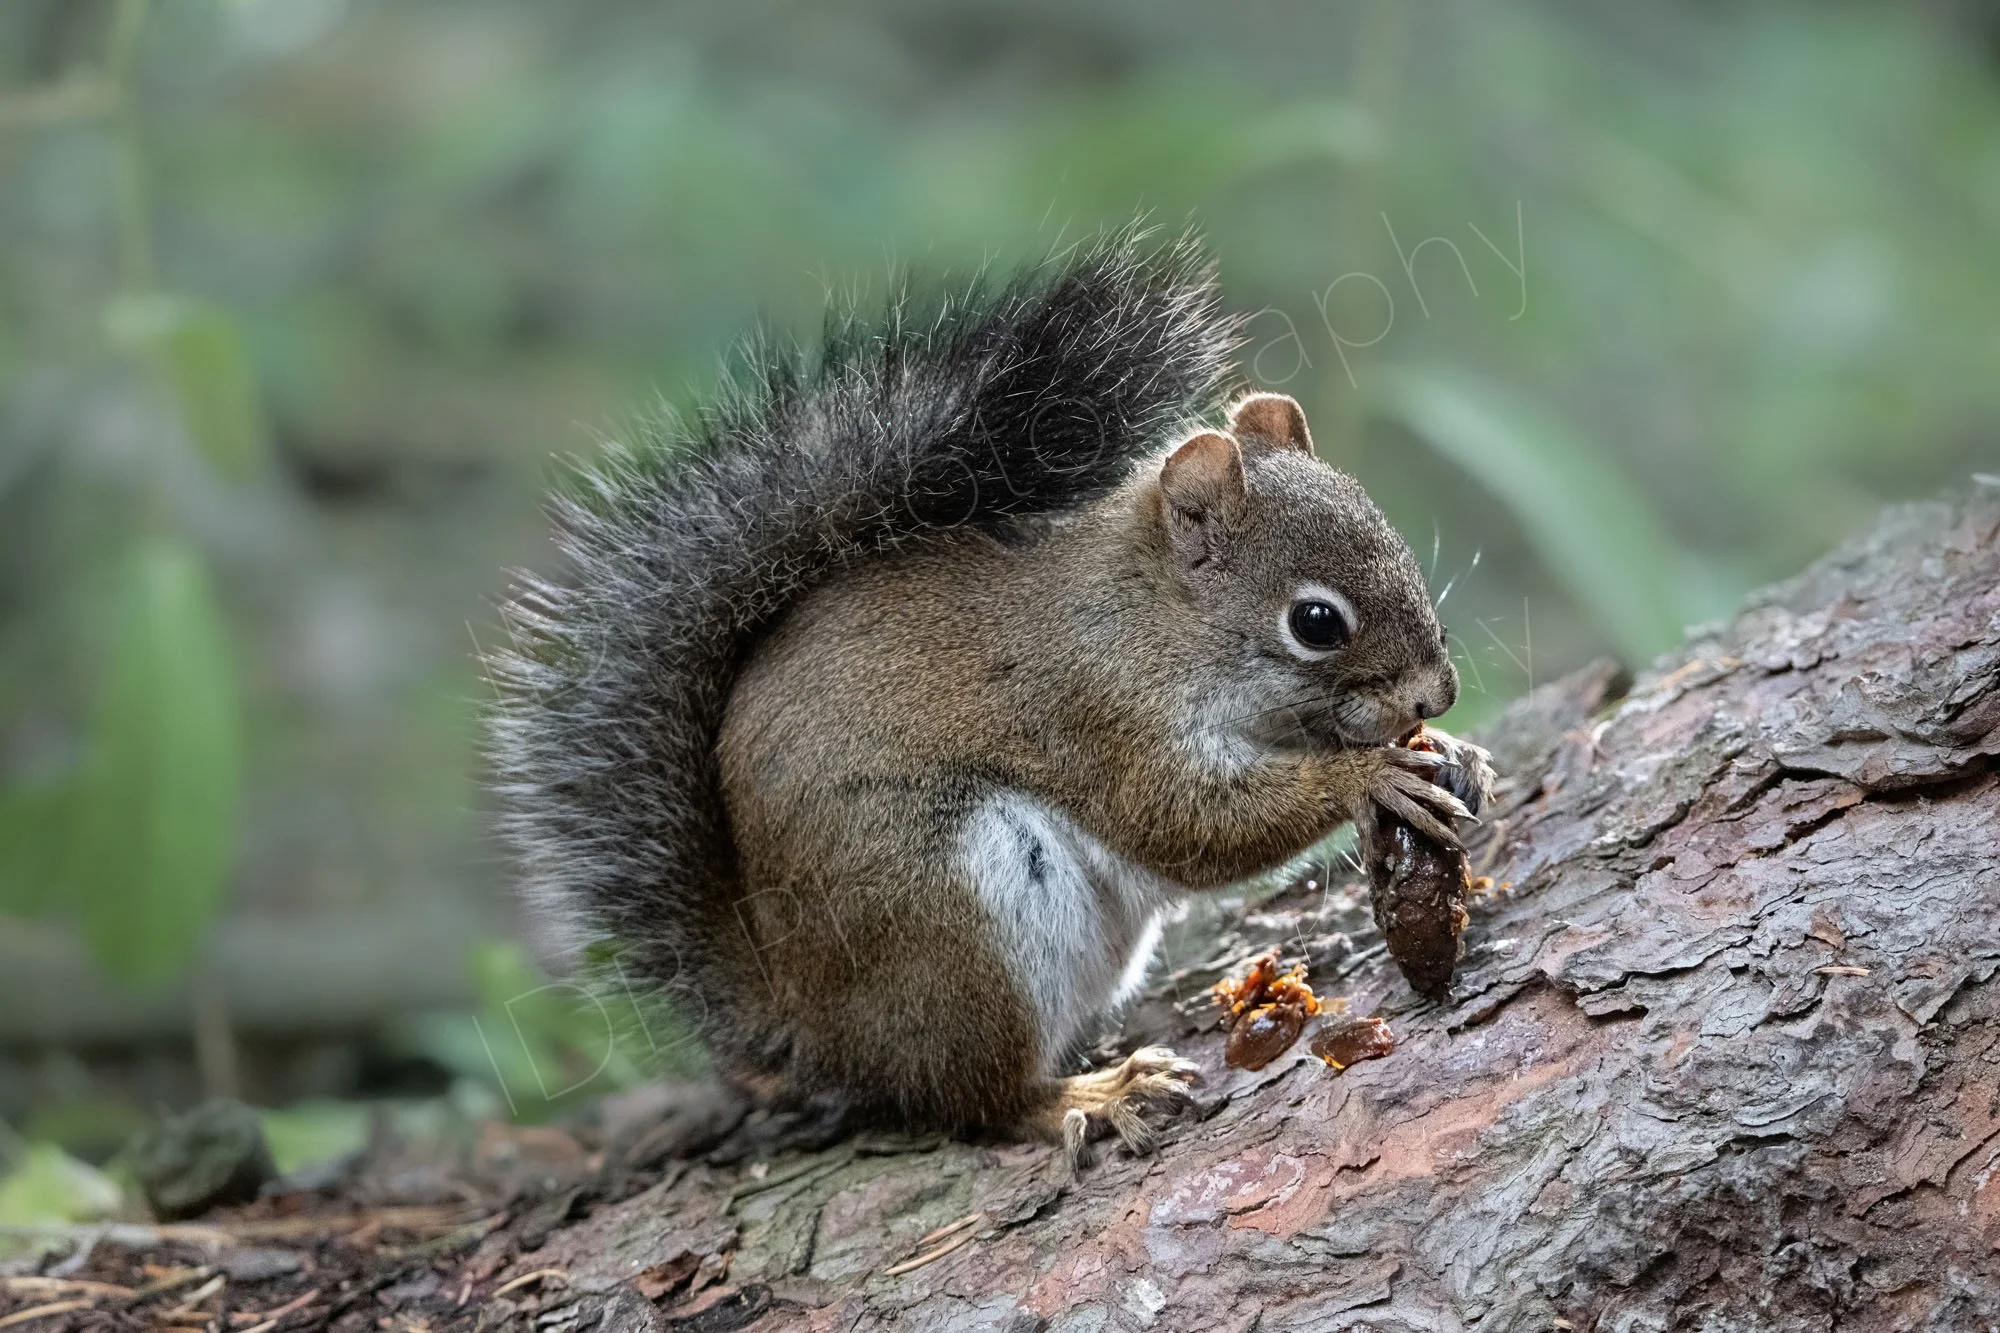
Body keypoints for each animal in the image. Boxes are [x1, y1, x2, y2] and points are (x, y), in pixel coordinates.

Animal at [486, 230, 1493, 1158]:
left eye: (1392, 536)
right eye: (1316, 621)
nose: (1438, 695)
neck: (1155, 618)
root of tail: (817, 1031)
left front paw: (1459, 759)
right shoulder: (1096, 709)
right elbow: (1188, 824)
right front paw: (1368, 776)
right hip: (958, 915)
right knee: (973, 1100)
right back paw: (1088, 1094)